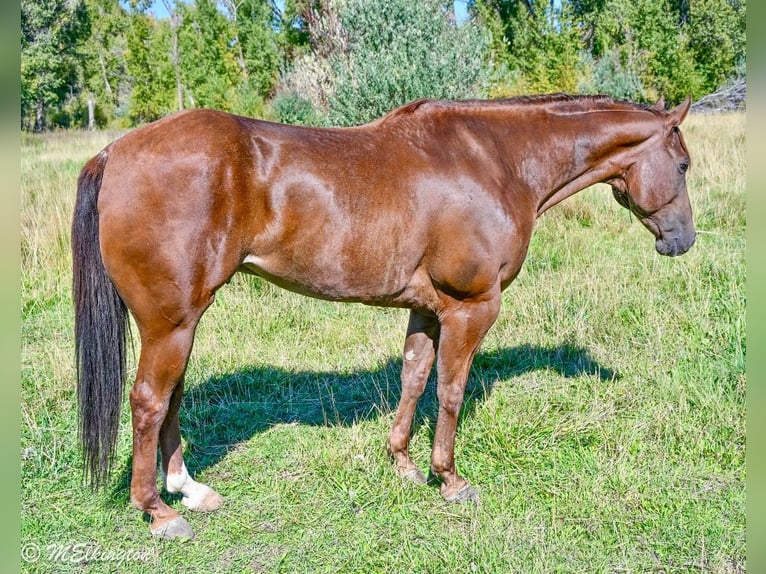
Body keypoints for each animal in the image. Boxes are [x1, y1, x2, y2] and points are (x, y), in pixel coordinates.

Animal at [72, 94, 695, 539]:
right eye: (684, 165)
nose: (683, 241)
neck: (494, 161)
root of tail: (115, 151)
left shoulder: (425, 309)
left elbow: (413, 378)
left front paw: (404, 465)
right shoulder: (472, 308)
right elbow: (450, 390)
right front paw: (450, 480)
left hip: (182, 322)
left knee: (171, 397)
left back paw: (191, 491)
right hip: (170, 324)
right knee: (149, 402)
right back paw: (159, 512)